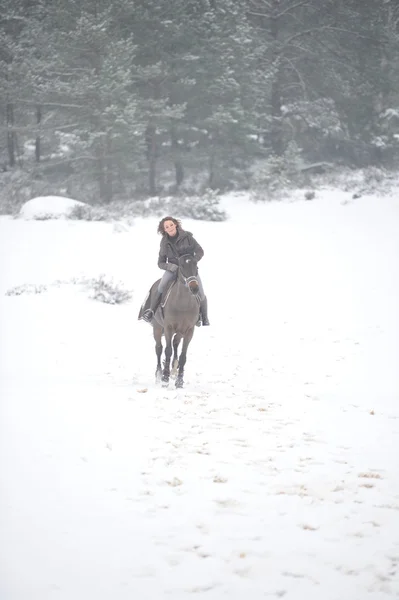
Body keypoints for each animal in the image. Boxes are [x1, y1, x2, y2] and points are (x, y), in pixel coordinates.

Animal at [139, 253, 200, 390]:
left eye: (196, 266)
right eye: (181, 266)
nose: (194, 288)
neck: (183, 304)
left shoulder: (189, 331)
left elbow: (183, 355)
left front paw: (179, 381)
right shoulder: (168, 328)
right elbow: (167, 351)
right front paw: (165, 379)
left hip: (180, 332)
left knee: (175, 344)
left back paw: (174, 369)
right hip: (157, 328)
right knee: (159, 348)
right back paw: (159, 374)